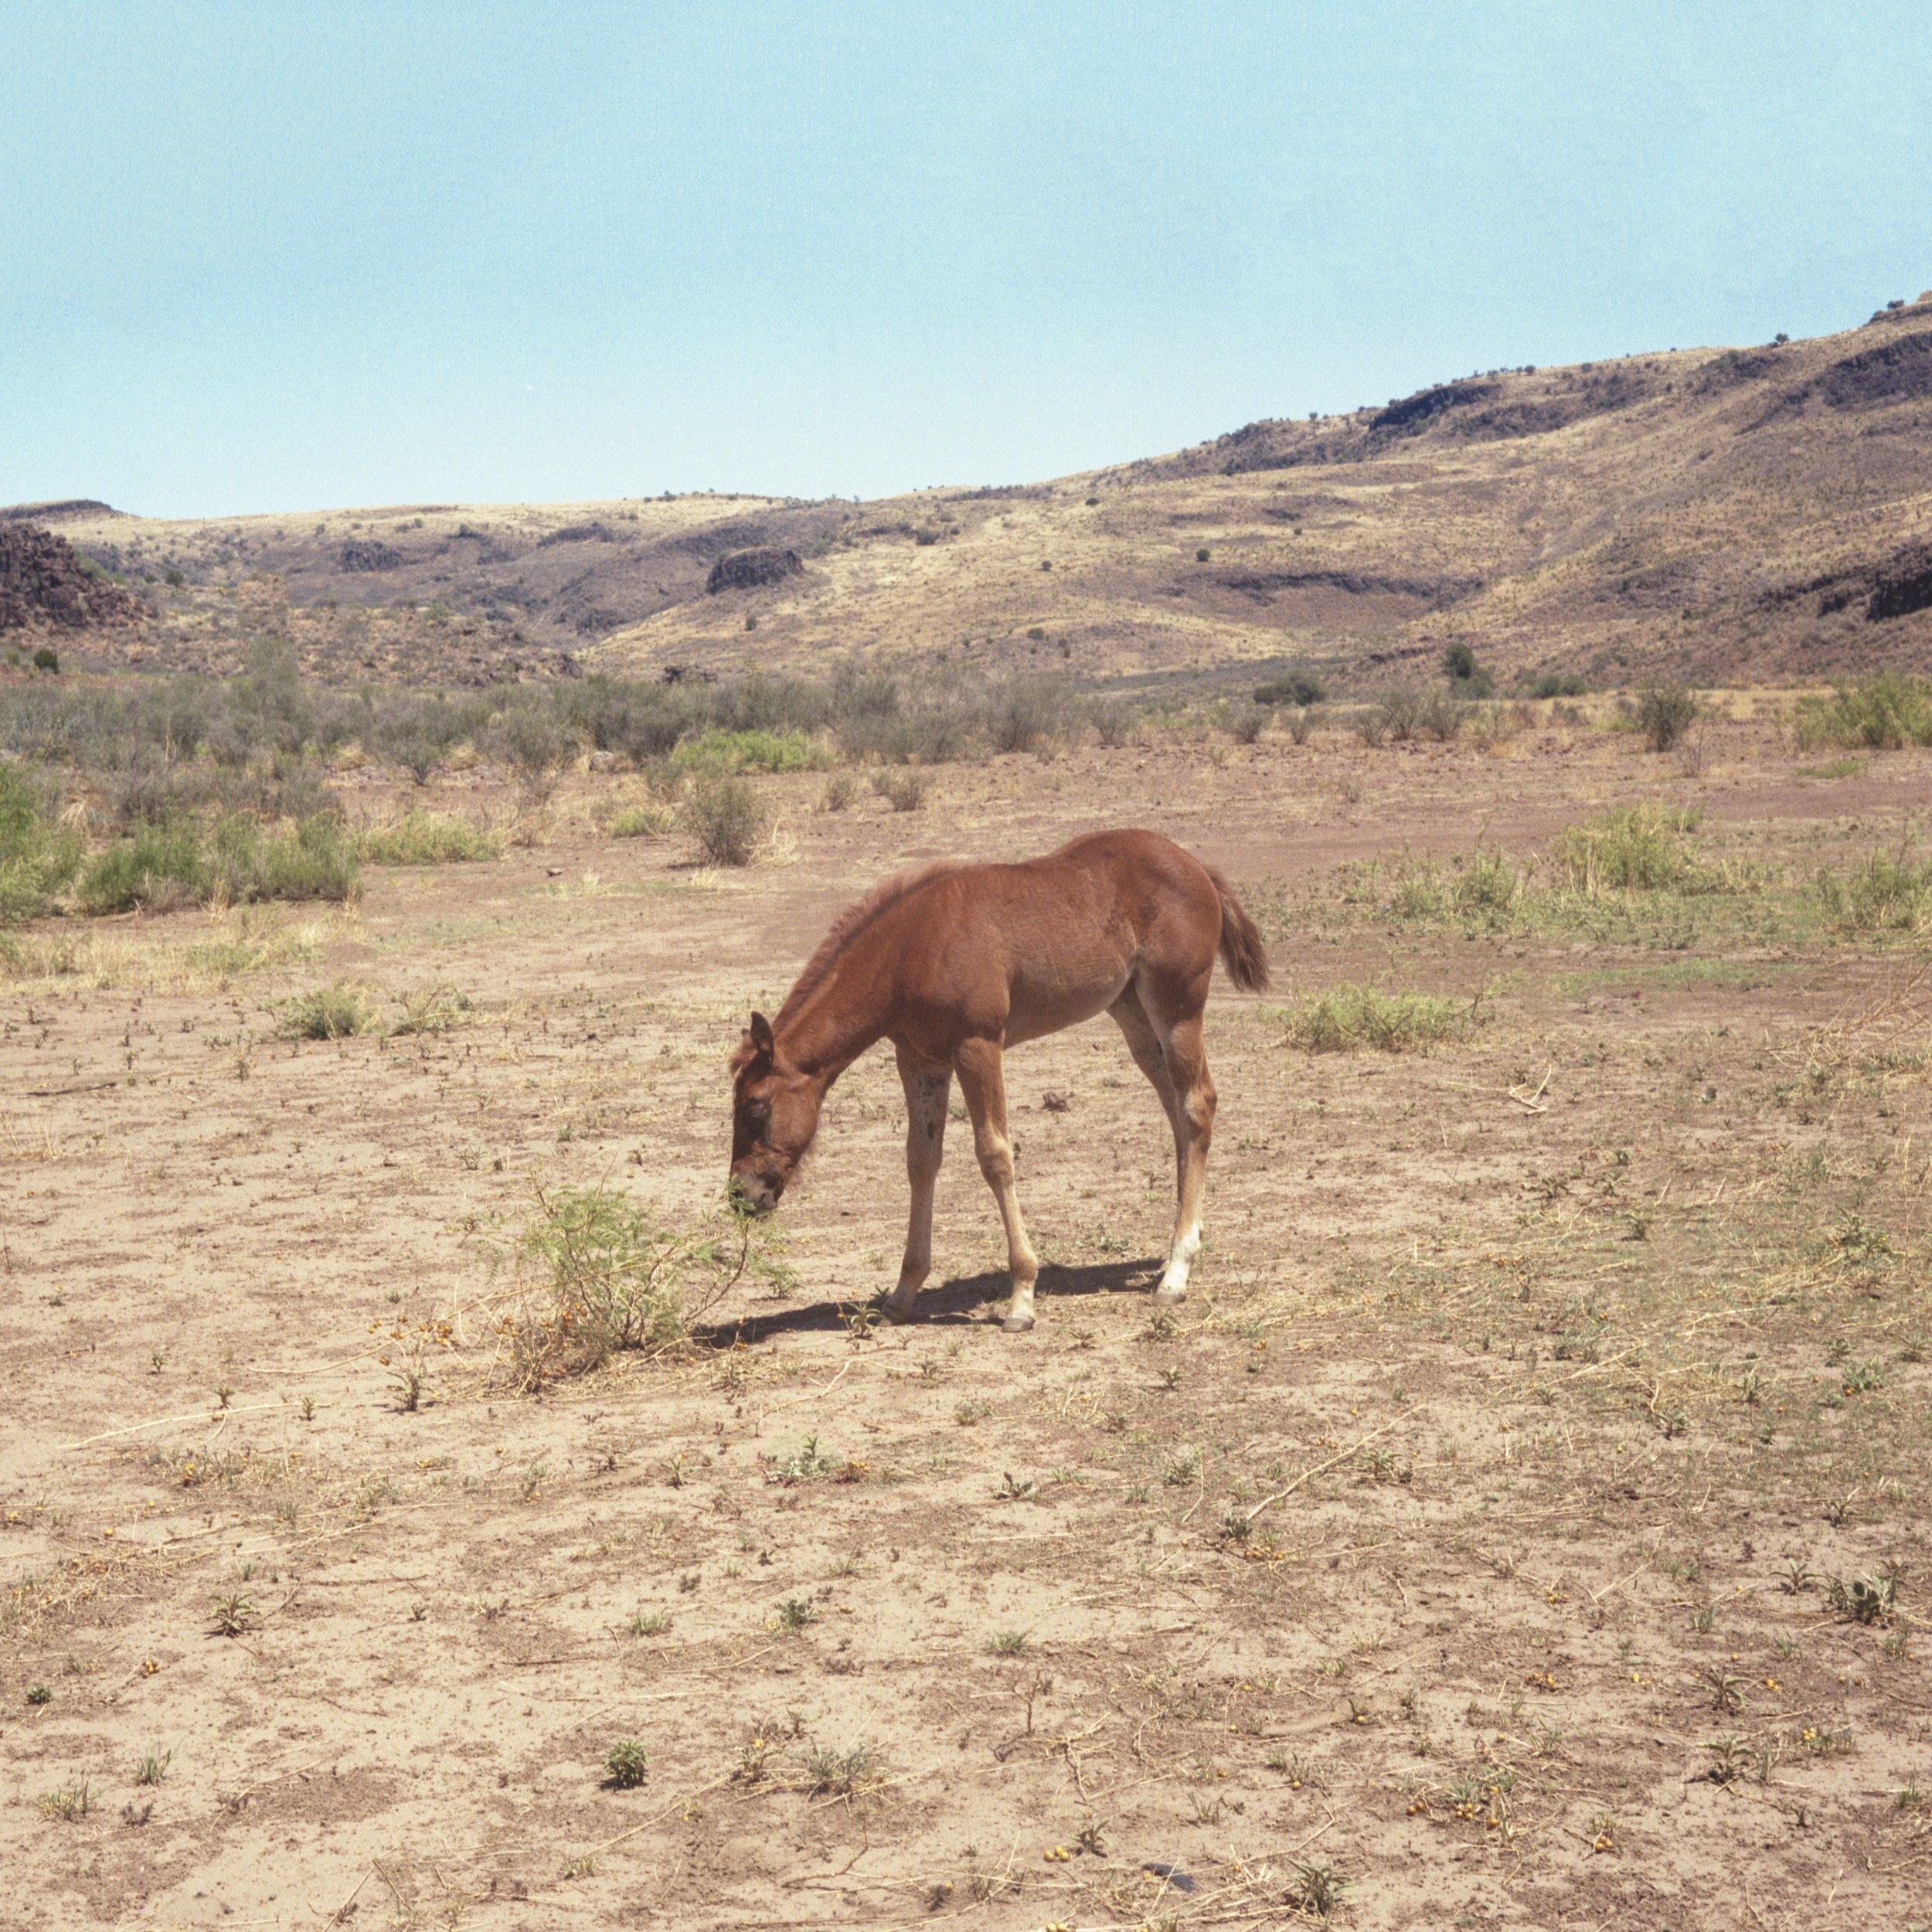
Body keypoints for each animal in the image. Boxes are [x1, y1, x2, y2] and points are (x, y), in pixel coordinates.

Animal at [726, 831, 1267, 1329]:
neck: (910, 949)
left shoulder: (978, 1045)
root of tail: (1197, 867)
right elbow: (921, 1161)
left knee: (1197, 1104)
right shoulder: (920, 1058)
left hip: (1177, 1006)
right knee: (1178, 1111)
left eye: (755, 1108)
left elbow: (995, 1155)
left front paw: (1022, 1298)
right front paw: (902, 1295)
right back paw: (1175, 1248)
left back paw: (1177, 1272)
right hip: (1133, 1012)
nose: (741, 1196)